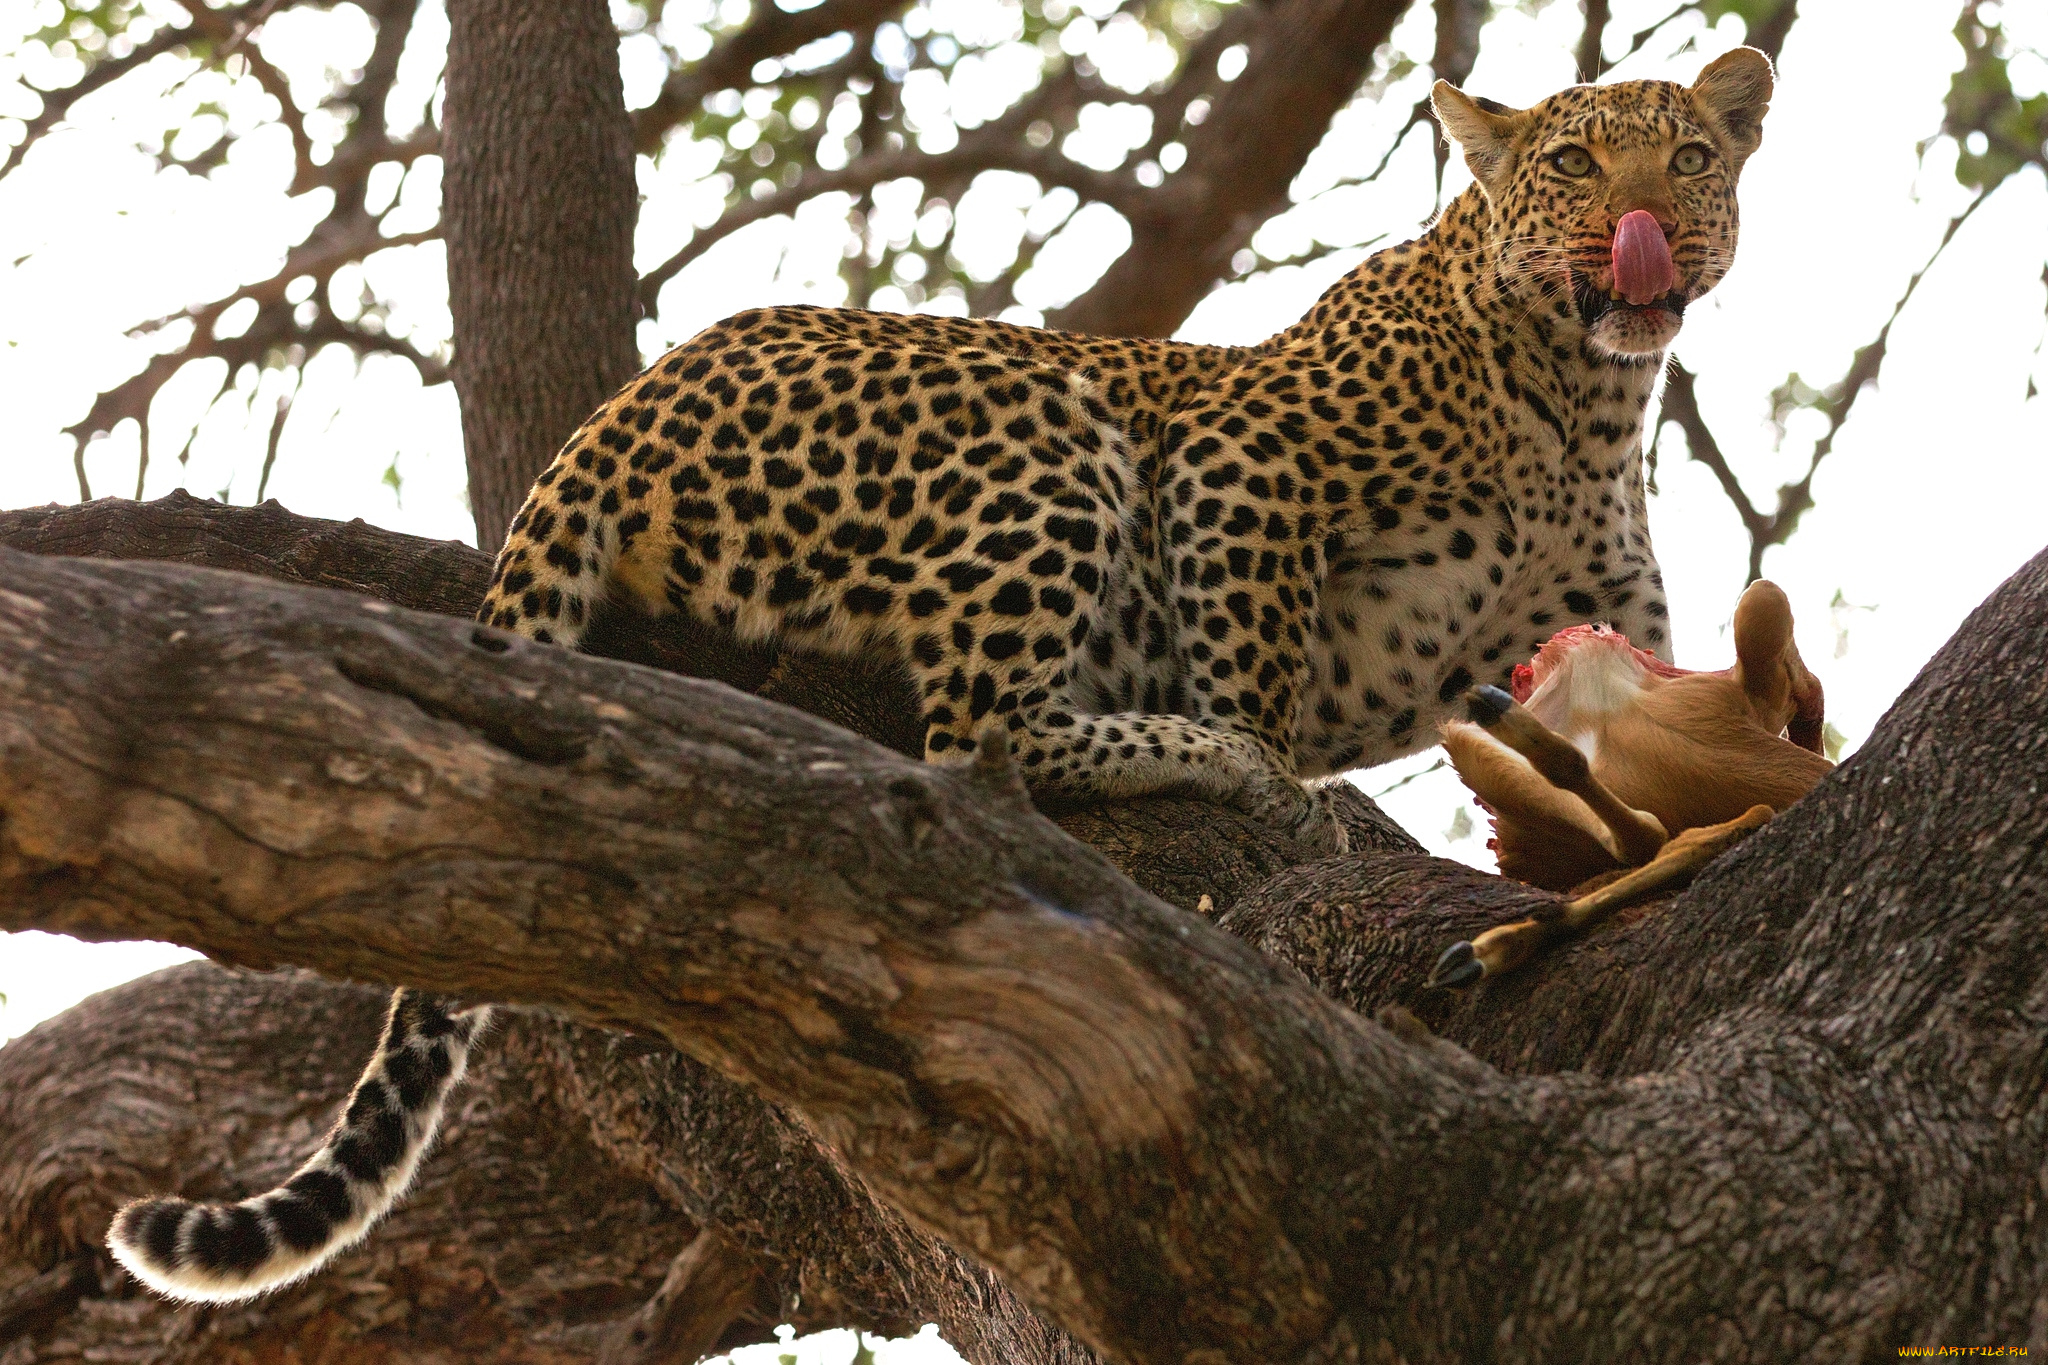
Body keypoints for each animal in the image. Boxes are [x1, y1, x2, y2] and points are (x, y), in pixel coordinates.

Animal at [112, 45, 1777, 1301]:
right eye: (1575, 164)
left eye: (1693, 156)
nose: (1644, 223)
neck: (1578, 400)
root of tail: (613, 412)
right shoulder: (1241, 466)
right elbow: (1247, 649)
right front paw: (1272, 772)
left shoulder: (1603, 619)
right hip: (1050, 424)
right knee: (980, 744)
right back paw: (1211, 760)